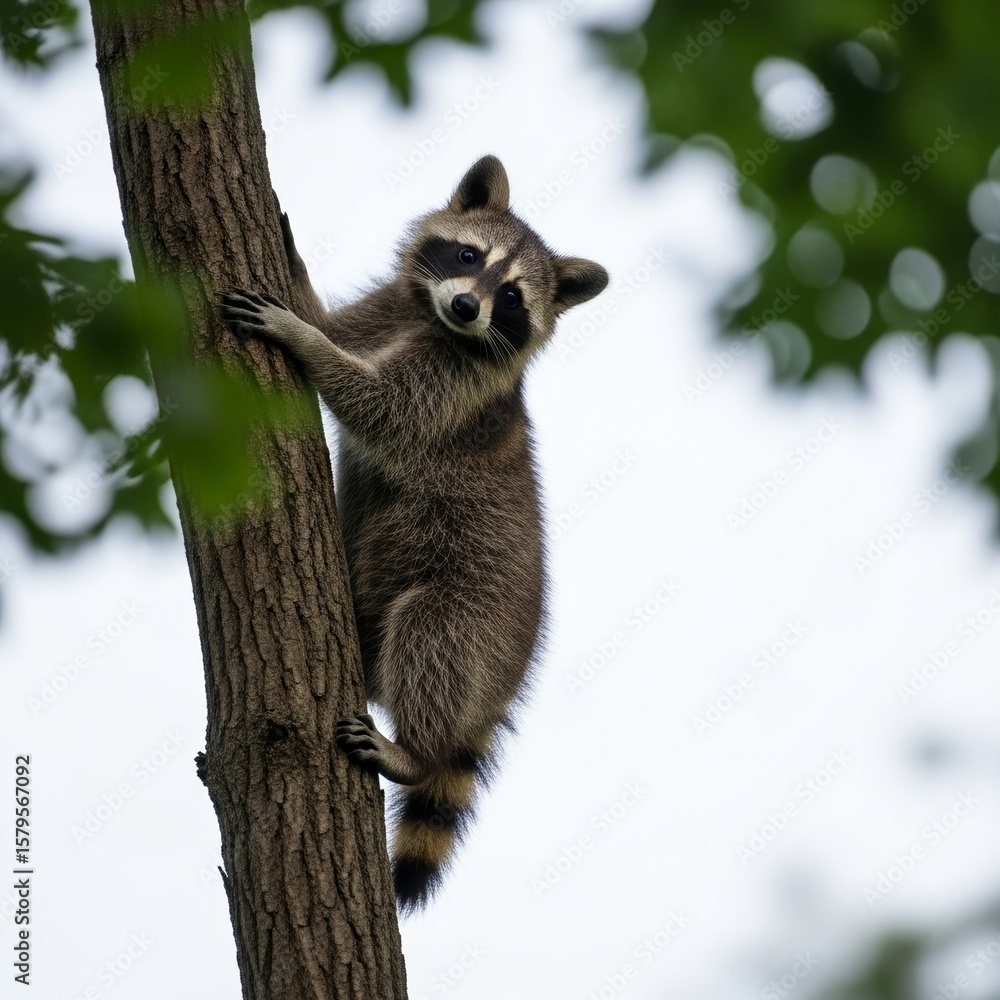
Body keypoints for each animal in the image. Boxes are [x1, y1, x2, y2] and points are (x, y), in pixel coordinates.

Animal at [222, 155, 608, 911]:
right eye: (468, 256)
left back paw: (415, 752)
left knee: (433, 633)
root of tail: (505, 682)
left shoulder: (455, 389)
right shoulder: (388, 312)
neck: (433, 321)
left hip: (474, 611)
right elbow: (341, 330)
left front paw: (301, 340)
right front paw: (300, 286)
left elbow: (382, 407)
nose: (465, 307)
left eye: (511, 297)